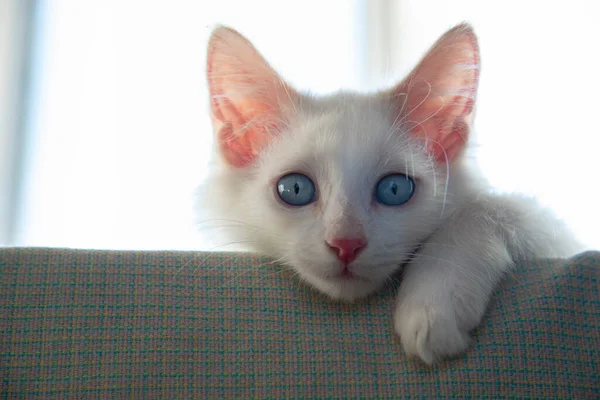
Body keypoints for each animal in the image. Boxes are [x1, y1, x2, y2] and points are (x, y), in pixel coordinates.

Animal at [200, 23, 580, 364]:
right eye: (294, 189)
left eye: (394, 189)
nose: (346, 244)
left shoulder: (563, 239)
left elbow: (488, 206)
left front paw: (434, 300)